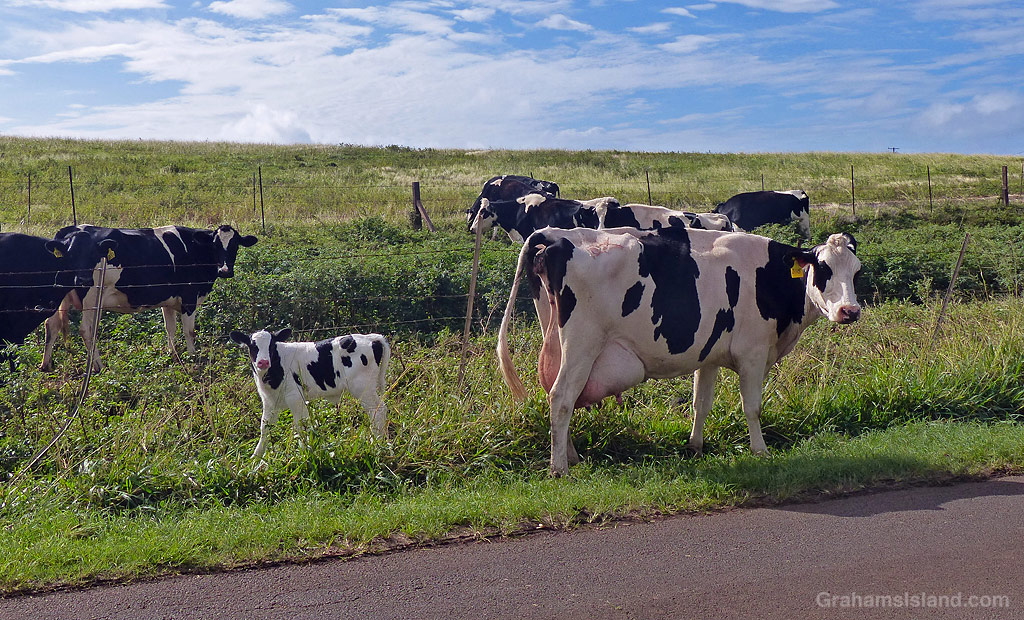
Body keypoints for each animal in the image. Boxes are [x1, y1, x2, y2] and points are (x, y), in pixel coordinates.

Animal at [41, 224, 258, 372]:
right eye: (215, 245)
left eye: (235, 245)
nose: (225, 271)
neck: (192, 250)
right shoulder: (189, 297)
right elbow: (189, 331)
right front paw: (193, 357)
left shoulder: (169, 299)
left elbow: (170, 328)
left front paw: (173, 354)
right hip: (92, 297)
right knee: (86, 330)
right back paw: (98, 366)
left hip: (60, 296)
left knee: (52, 325)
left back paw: (46, 365)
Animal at [230, 328, 391, 459]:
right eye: (252, 345)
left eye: (271, 345)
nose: (263, 362)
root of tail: (371, 337)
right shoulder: (269, 402)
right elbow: (265, 429)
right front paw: (255, 460)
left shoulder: (295, 398)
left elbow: (301, 426)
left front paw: (305, 454)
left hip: (363, 387)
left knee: (378, 410)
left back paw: (375, 444)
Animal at [496, 226, 861, 476]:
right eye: (823, 269)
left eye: (856, 271)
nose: (850, 311)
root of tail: (556, 235)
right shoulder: (753, 354)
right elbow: (752, 407)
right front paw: (760, 451)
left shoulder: (709, 353)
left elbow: (701, 403)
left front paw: (695, 446)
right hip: (581, 344)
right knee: (561, 398)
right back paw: (559, 468)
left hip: (557, 342)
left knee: (557, 395)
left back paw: (569, 456)